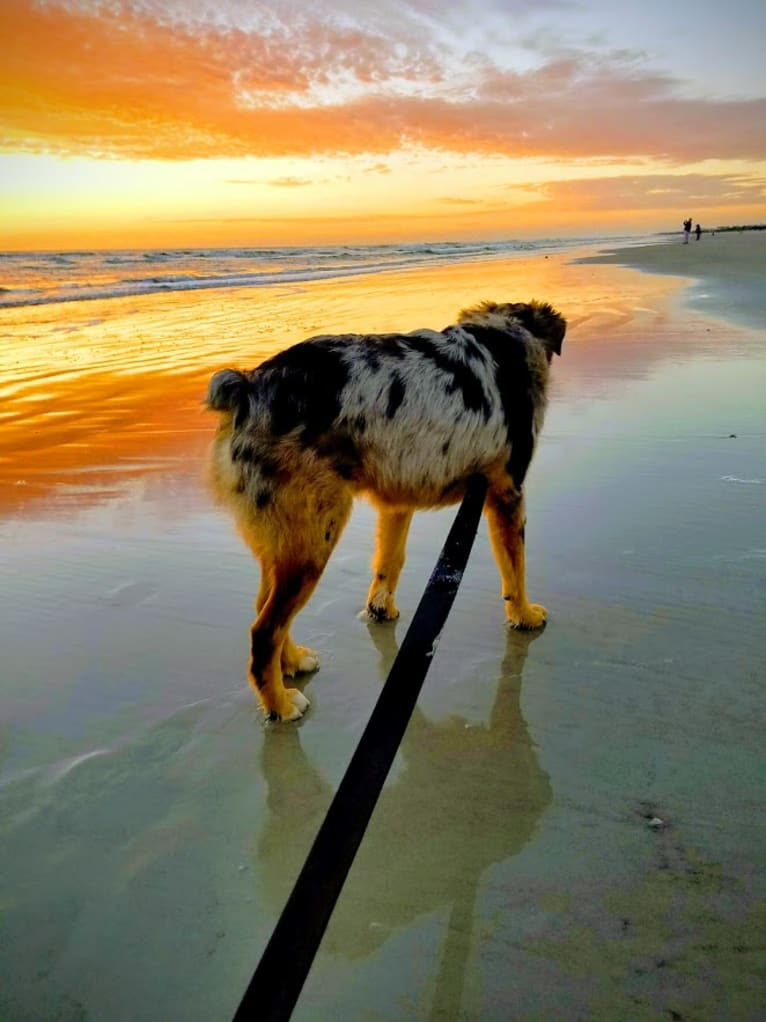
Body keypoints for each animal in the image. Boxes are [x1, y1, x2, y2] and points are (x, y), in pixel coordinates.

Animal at [204, 298, 563, 723]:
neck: (505, 336)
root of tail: (248, 386)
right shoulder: (507, 493)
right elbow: (515, 569)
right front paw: (524, 616)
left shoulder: (399, 500)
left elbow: (389, 562)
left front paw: (380, 610)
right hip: (316, 535)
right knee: (264, 631)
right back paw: (280, 704)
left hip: (287, 540)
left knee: (266, 611)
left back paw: (291, 664)